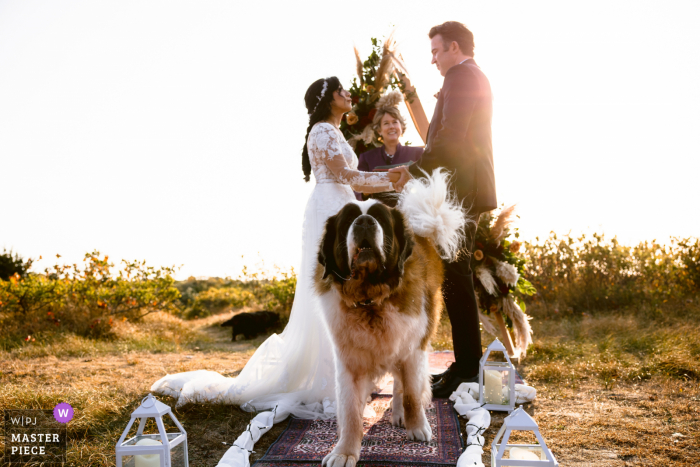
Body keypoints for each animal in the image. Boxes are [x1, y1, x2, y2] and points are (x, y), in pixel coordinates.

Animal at [316, 171, 468, 467]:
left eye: (380, 218)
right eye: (347, 220)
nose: (364, 221)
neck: (371, 299)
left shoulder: (411, 348)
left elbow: (411, 393)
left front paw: (417, 427)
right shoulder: (349, 361)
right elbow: (350, 410)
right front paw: (344, 451)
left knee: (402, 384)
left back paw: (401, 414)